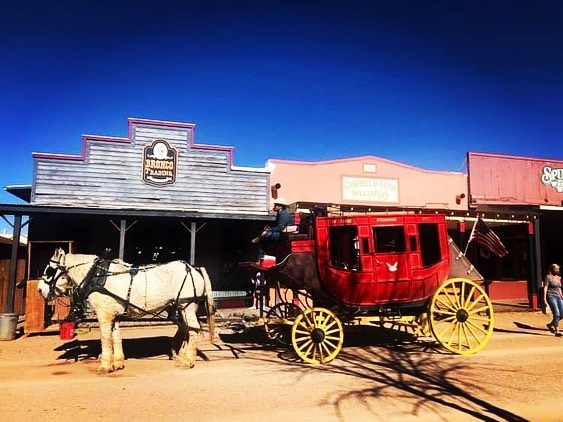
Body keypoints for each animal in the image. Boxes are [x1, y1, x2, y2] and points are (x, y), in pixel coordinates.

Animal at [36, 249, 215, 374]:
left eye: (49, 270)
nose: (40, 290)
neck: (95, 275)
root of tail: (194, 268)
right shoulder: (113, 314)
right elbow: (116, 337)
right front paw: (117, 362)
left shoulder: (104, 314)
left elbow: (105, 338)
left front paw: (105, 366)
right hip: (181, 307)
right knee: (186, 328)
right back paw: (181, 355)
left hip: (187, 306)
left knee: (193, 330)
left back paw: (187, 360)